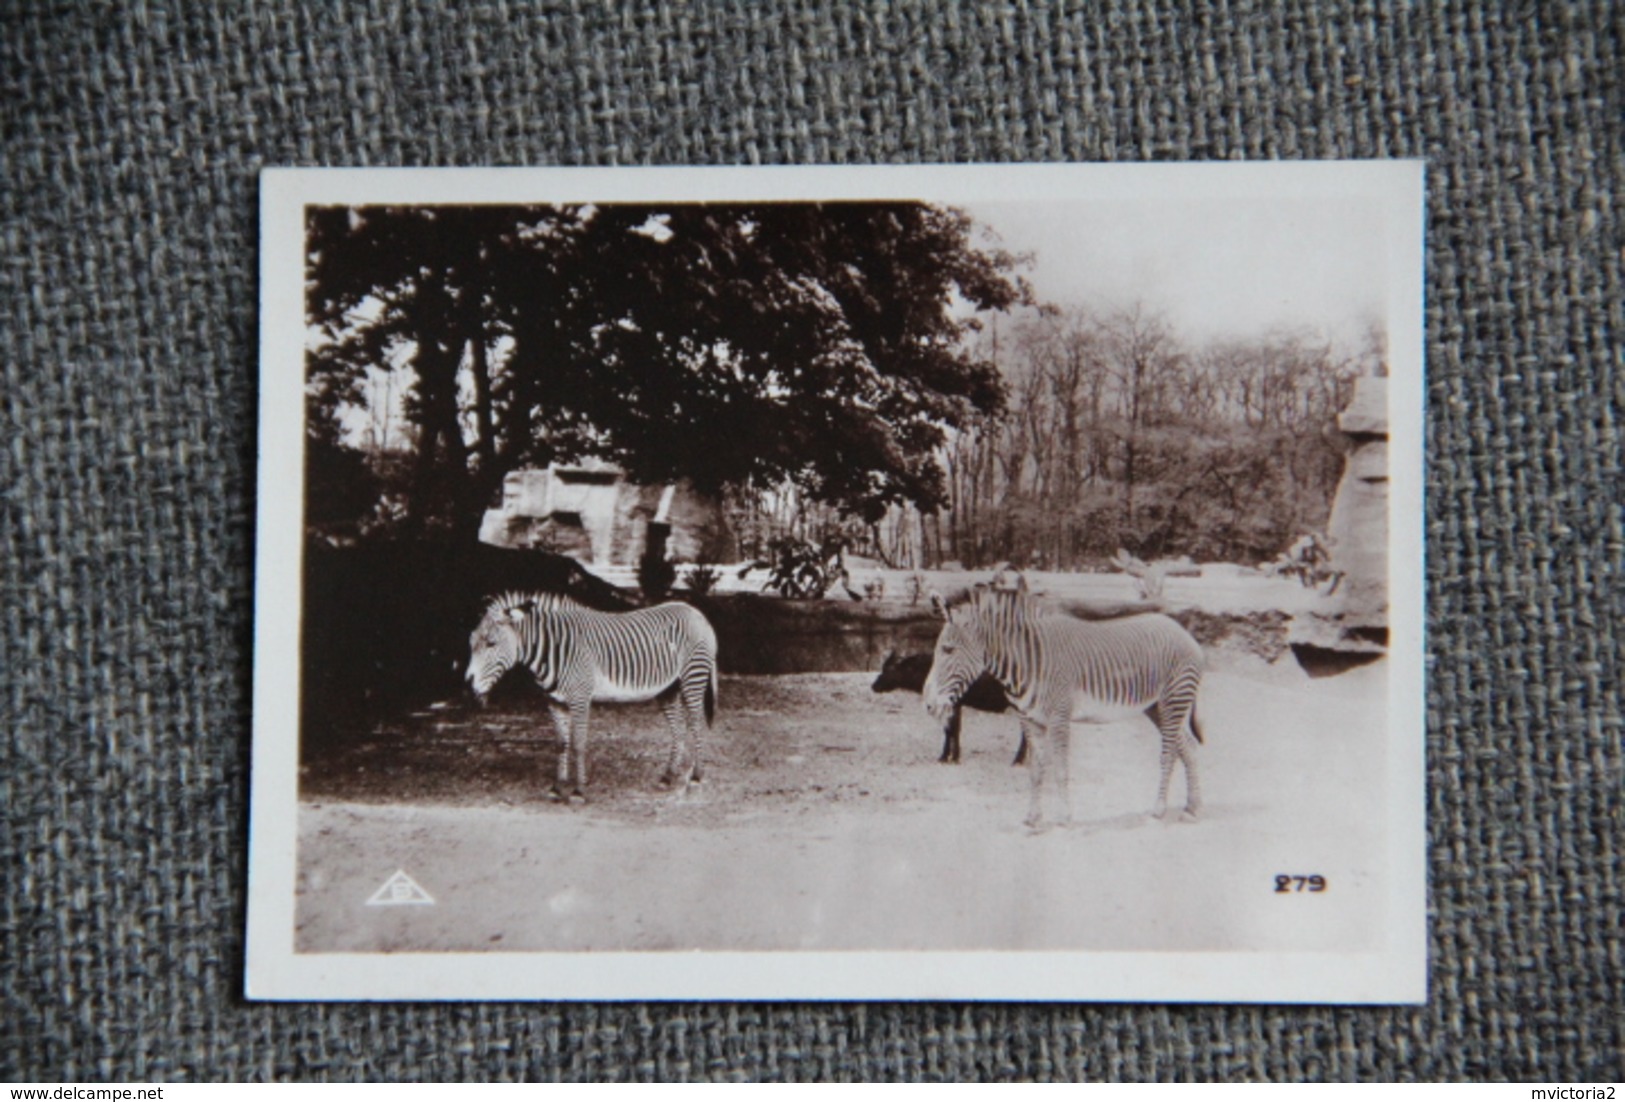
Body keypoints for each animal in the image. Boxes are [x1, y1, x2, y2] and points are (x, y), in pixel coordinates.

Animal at [464, 594, 718, 802]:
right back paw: (668, 777)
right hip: (668, 688)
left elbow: (578, 744)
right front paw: (558, 787)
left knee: (696, 725)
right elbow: (561, 743)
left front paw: (578, 791)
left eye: (491, 644)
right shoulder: (554, 701)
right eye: (471, 643)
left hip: (692, 678)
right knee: (678, 729)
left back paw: (696, 777)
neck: (553, 651)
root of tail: (696, 612)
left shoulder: (580, 699)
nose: (467, 685)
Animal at [923, 568, 1202, 828]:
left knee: (1169, 752)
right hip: (1157, 706)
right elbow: (1036, 770)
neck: (1029, 661)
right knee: (1189, 747)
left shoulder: (1059, 717)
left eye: (948, 650)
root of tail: (1182, 631)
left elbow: (1060, 769)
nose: (928, 704)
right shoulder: (1030, 719)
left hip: (1173, 699)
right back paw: (1192, 808)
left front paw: (1064, 817)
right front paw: (1033, 817)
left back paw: (1159, 809)